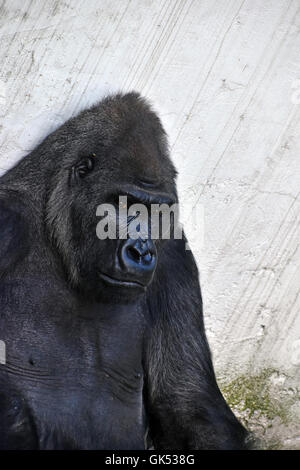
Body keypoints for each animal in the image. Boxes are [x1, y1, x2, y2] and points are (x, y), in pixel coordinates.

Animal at [0, 91, 248, 448]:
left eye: (154, 211)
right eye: (126, 205)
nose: (142, 252)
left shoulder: (175, 256)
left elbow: (188, 403)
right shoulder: (7, 220)